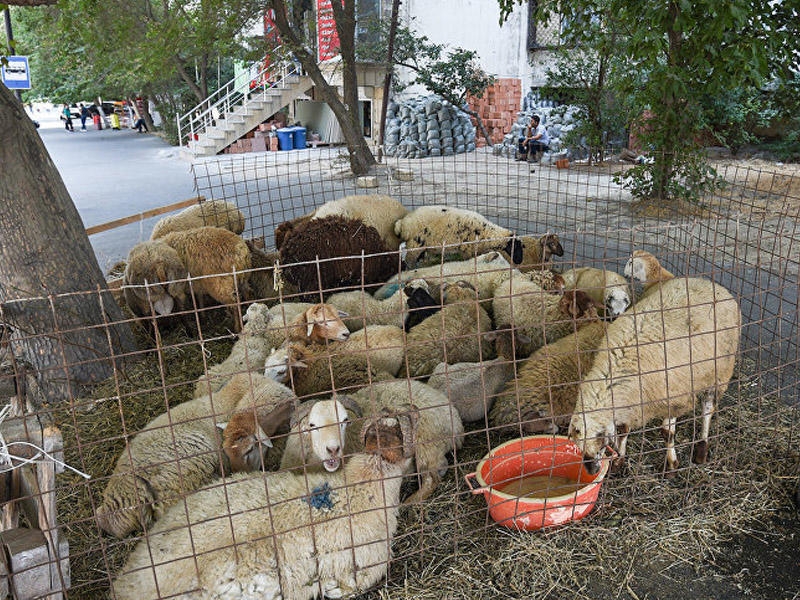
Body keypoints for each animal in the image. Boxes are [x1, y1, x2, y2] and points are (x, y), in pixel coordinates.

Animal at [394, 206, 524, 268]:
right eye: (515, 247)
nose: (520, 261)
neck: (487, 233)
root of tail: (402, 224)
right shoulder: (467, 250)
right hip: (415, 244)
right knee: (409, 260)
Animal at [568, 274, 744, 476]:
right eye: (578, 444)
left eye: (599, 438)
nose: (591, 470)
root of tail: (712, 284)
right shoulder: (632, 402)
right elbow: (623, 430)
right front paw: (619, 460)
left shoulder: (674, 397)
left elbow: (667, 433)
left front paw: (671, 465)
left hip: (719, 372)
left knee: (708, 409)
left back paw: (701, 448)